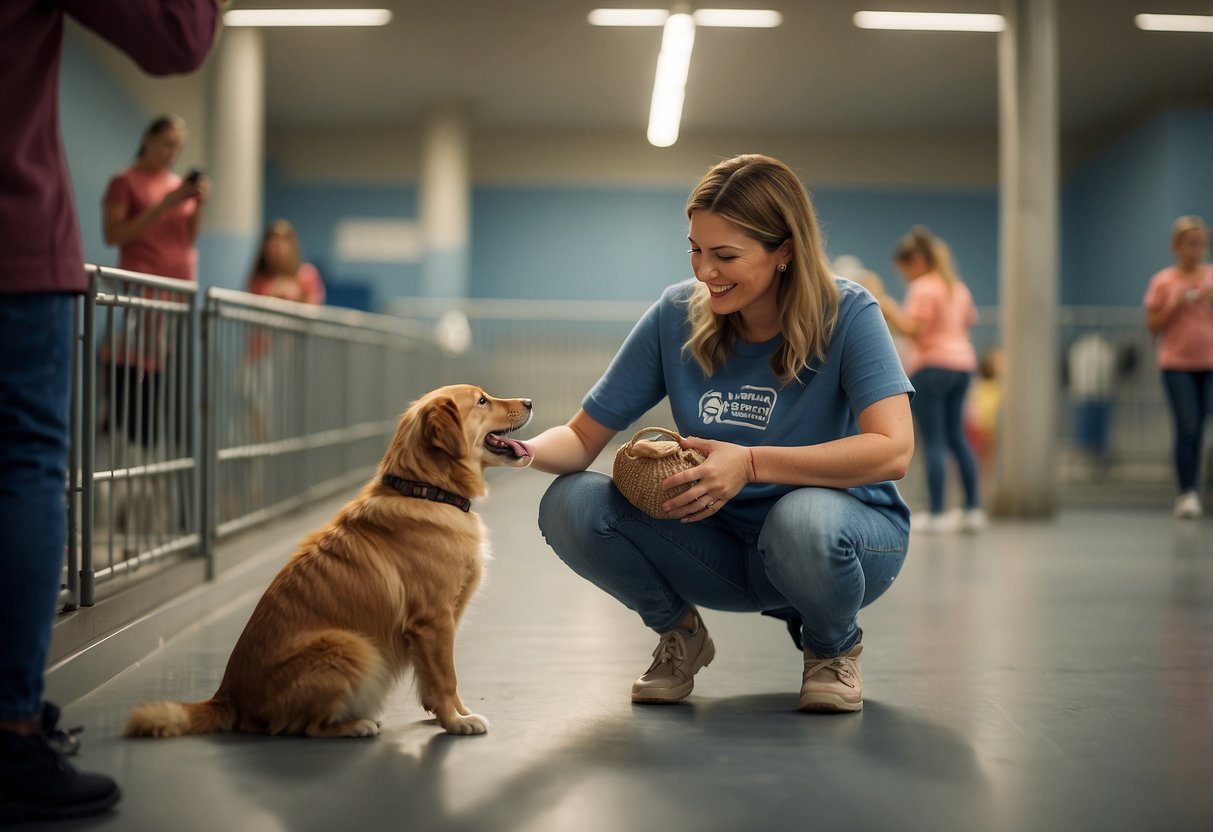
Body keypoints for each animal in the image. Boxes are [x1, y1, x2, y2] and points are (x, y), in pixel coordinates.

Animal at [124, 388, 536, 742]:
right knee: (307, 728)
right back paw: (356, 725)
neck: (426, 491)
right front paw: (456, 721)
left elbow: (436, 679)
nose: (530, 402)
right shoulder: (433, 620)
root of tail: (228, 697)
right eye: (482, 400)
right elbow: (446, 677)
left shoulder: (434, 628)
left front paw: (452, 713)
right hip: (351, 645)